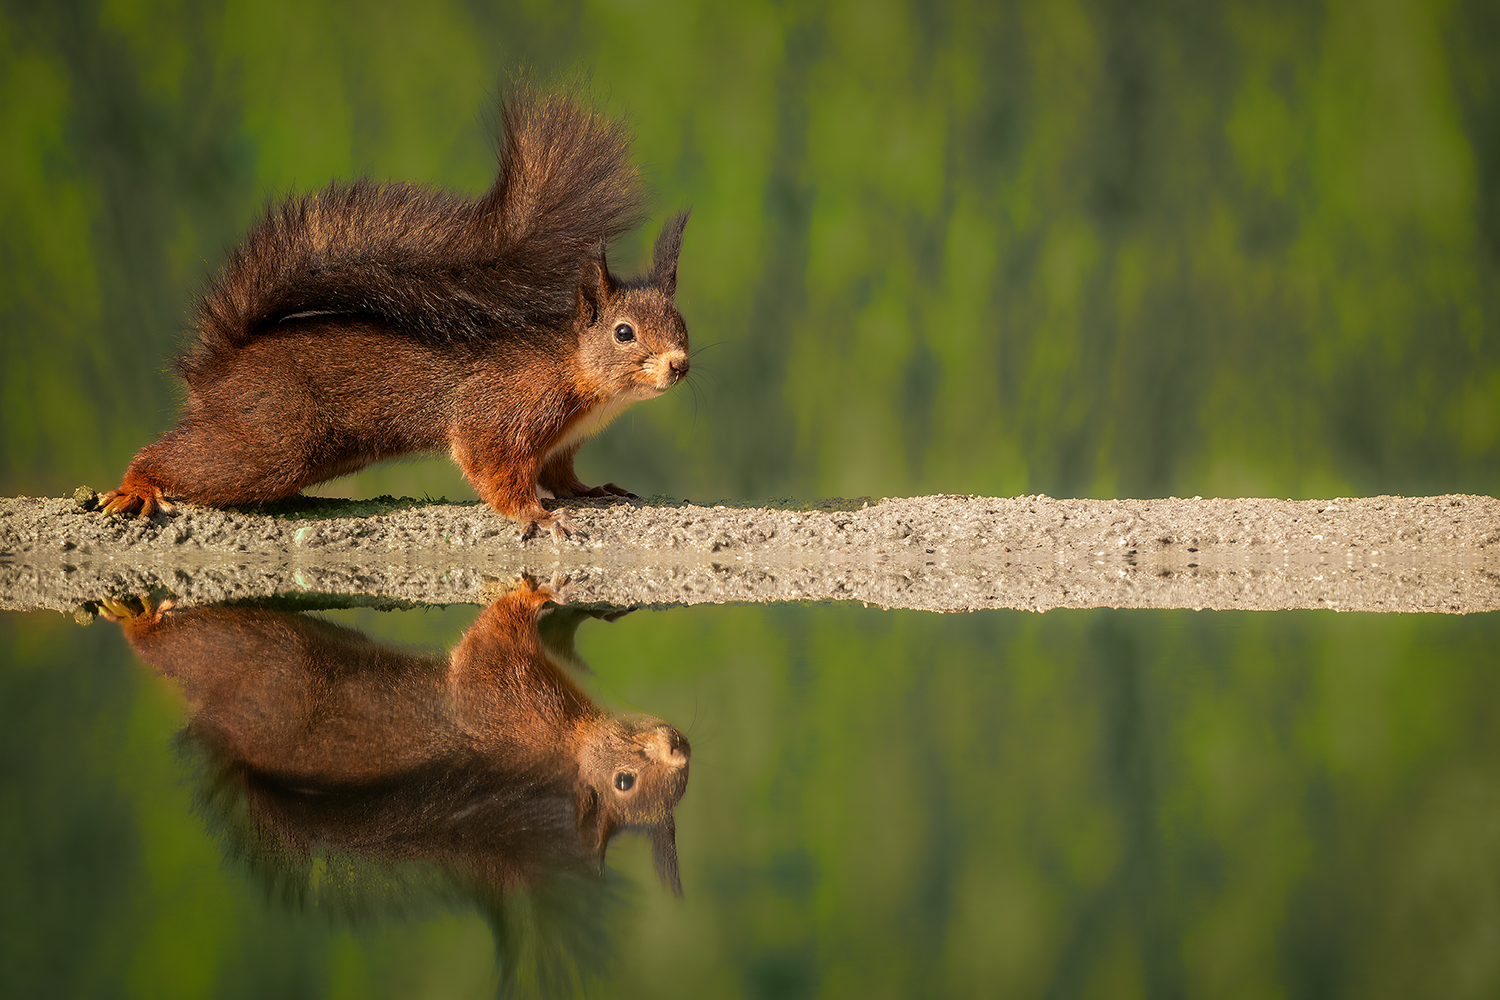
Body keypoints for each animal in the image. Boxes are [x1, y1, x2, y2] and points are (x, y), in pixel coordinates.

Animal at [96, 578, 693, 899]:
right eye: (625, 781)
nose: (680, 749)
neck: (571, 743)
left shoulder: (502, 697)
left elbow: (488, 643)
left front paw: (530, 592)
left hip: (259, 667)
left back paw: (140, 622)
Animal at [99, 89, 690, 539]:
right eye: (624, 333)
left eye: (682, 323)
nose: (679, 364)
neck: (581, 376)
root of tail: (218, 369)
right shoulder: (503, 410)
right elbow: (493, 468)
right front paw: (537, 517)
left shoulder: (560, 444)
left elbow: (562, 475)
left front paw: (592, 490)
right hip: (269, 440)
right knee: (180, 458)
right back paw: (136, 485)